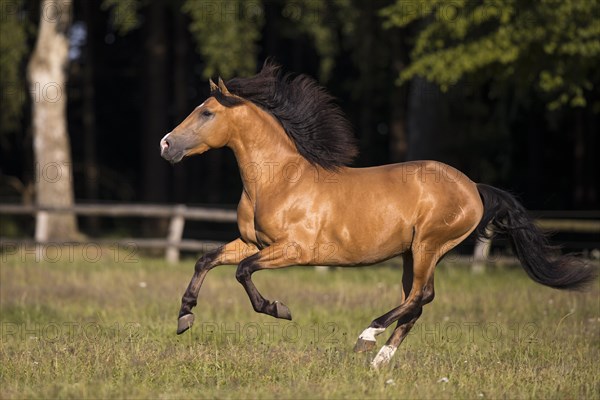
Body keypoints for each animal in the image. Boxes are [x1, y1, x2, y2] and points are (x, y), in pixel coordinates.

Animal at [159, 61, 596, 368]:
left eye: (207, 113)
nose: (166, 144)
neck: (279, 180)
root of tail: (473, 187)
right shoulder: (254, 242)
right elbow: (207, 260)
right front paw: (184, 317)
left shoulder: (294, 250)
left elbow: (242, 271)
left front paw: (278, 309)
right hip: (410, 253)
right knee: (417, 303)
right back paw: (379, 362)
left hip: (429, 245)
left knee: (420, 296)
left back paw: (366, 338)